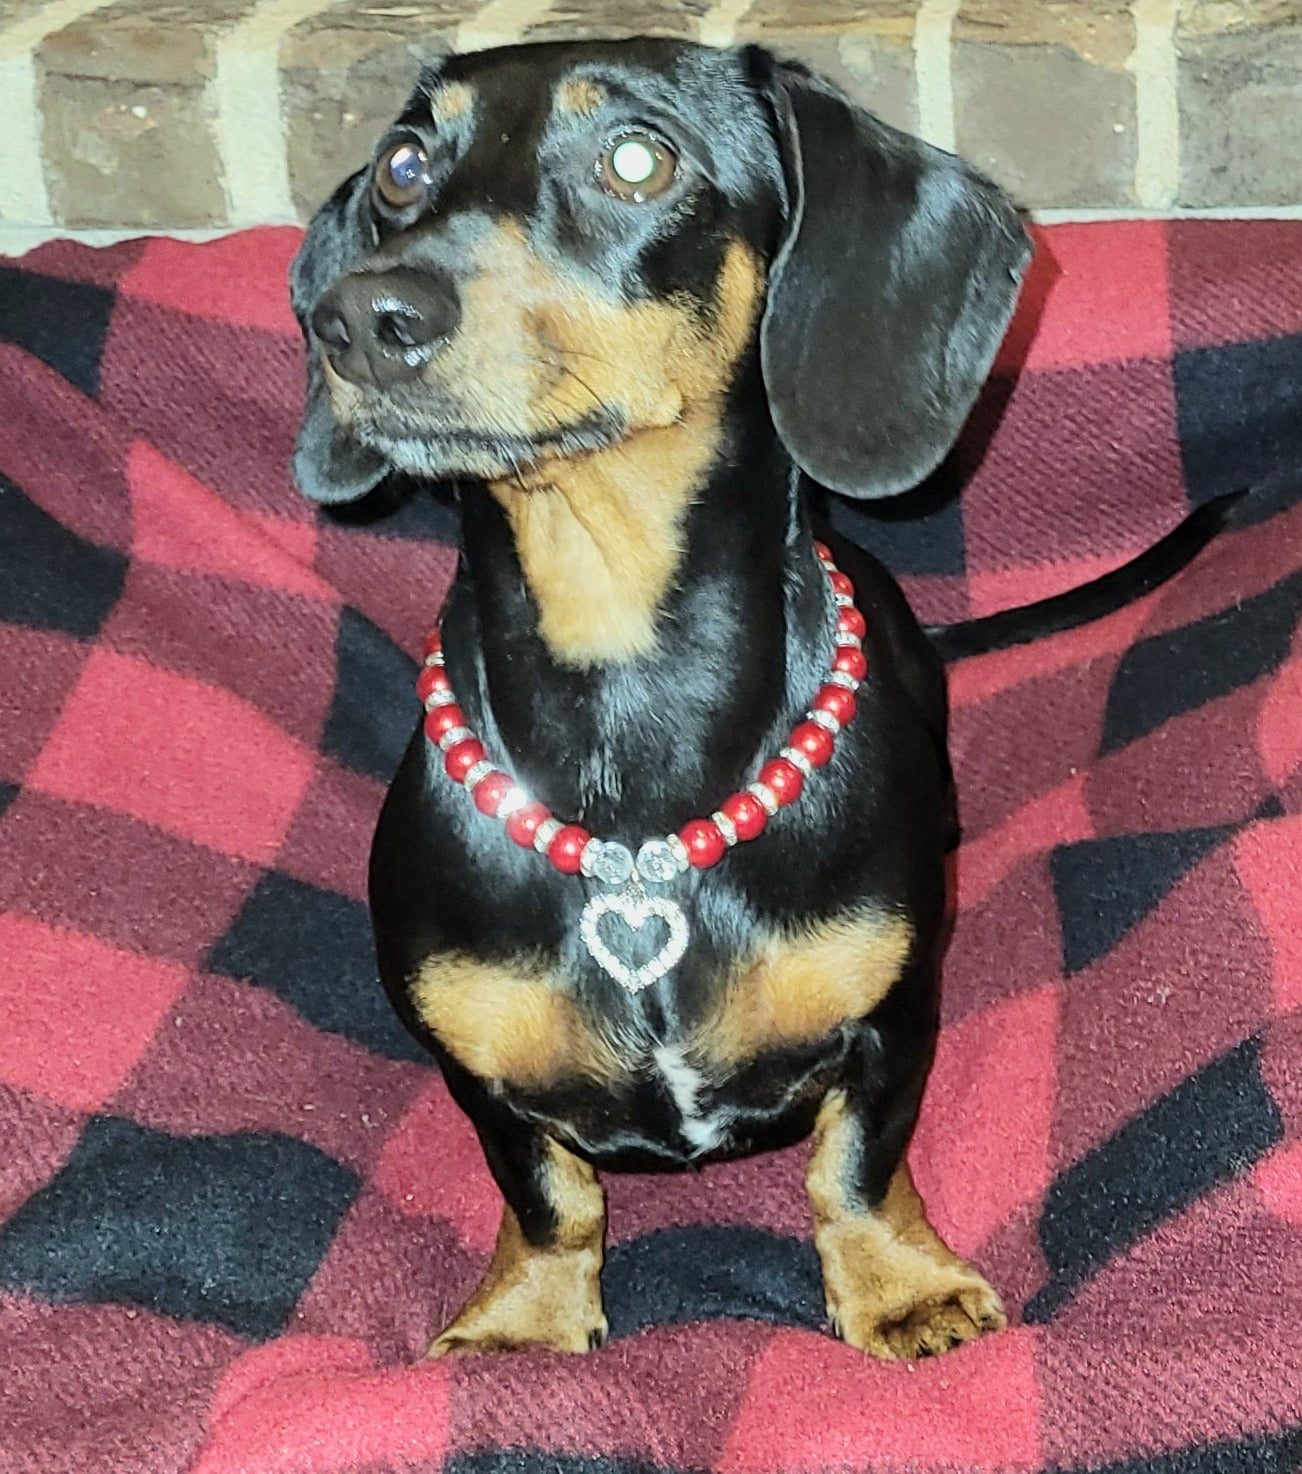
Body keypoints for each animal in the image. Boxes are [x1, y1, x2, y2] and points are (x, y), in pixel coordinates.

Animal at [287, 40, 1232, 1361]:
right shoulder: (476, 1075)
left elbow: (853, 1167)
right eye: (404, 166)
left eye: (640, 159)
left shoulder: (894, 1024)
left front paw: (904, 1288)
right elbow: (549, 1195)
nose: (362, 318)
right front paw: (525, 1322)